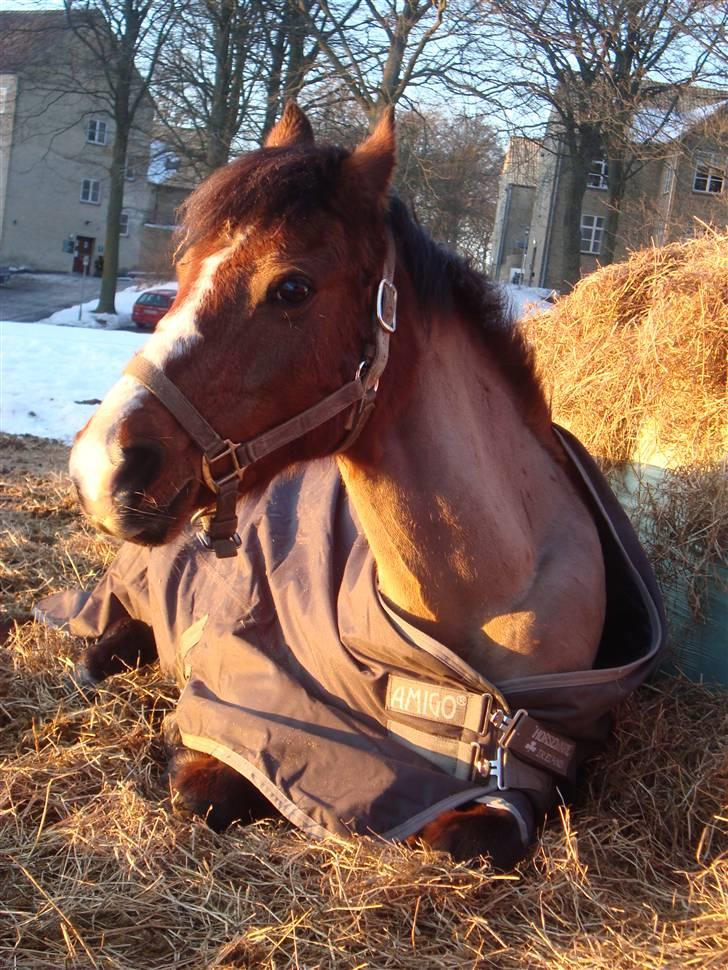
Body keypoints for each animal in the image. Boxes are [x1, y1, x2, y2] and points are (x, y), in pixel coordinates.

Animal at [41, 106, 664, 868]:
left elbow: (472, 834)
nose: (100, 467)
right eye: (183, 270)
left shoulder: (532, 776)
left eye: (292, 287)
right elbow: (206, 784)